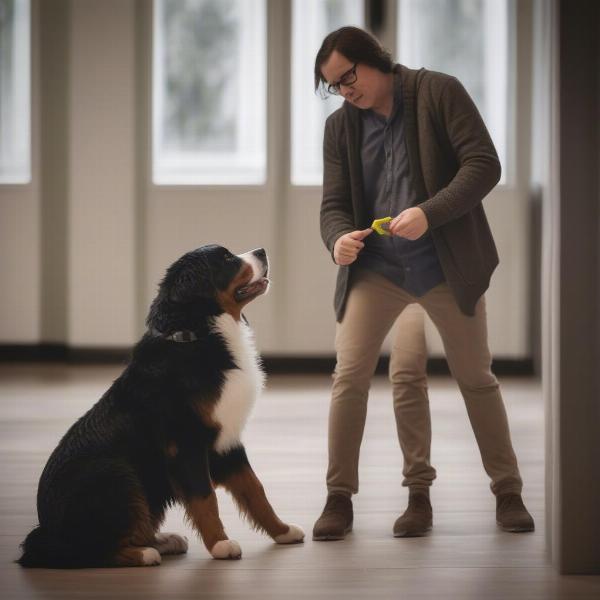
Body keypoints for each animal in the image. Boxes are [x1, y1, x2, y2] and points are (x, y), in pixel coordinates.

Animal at [18, 244, 304, 568]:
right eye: (227, 259)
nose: (262, 250)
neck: (199, 335)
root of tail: (46, 533)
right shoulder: (187, 443)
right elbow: (205, 498)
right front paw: (220, 544)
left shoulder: (227, 442)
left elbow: (255, 490)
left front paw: (283, 531)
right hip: (116, 473)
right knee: (88, 549)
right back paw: (144, 552)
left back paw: (163, 540)